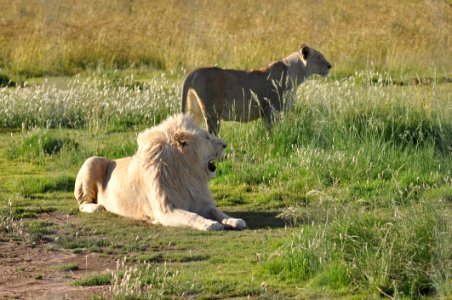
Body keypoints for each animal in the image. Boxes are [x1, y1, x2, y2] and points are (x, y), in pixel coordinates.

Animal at [73, 113, 247, 231]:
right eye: (207, 137)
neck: (188, 173)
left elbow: (218, 212)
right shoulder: (166, 210)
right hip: (92, 160)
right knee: (82, 204)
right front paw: (210, 224)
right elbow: (192, 216)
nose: (224, 145)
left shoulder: (201, 202)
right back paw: (97, 207)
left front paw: (235, 220)